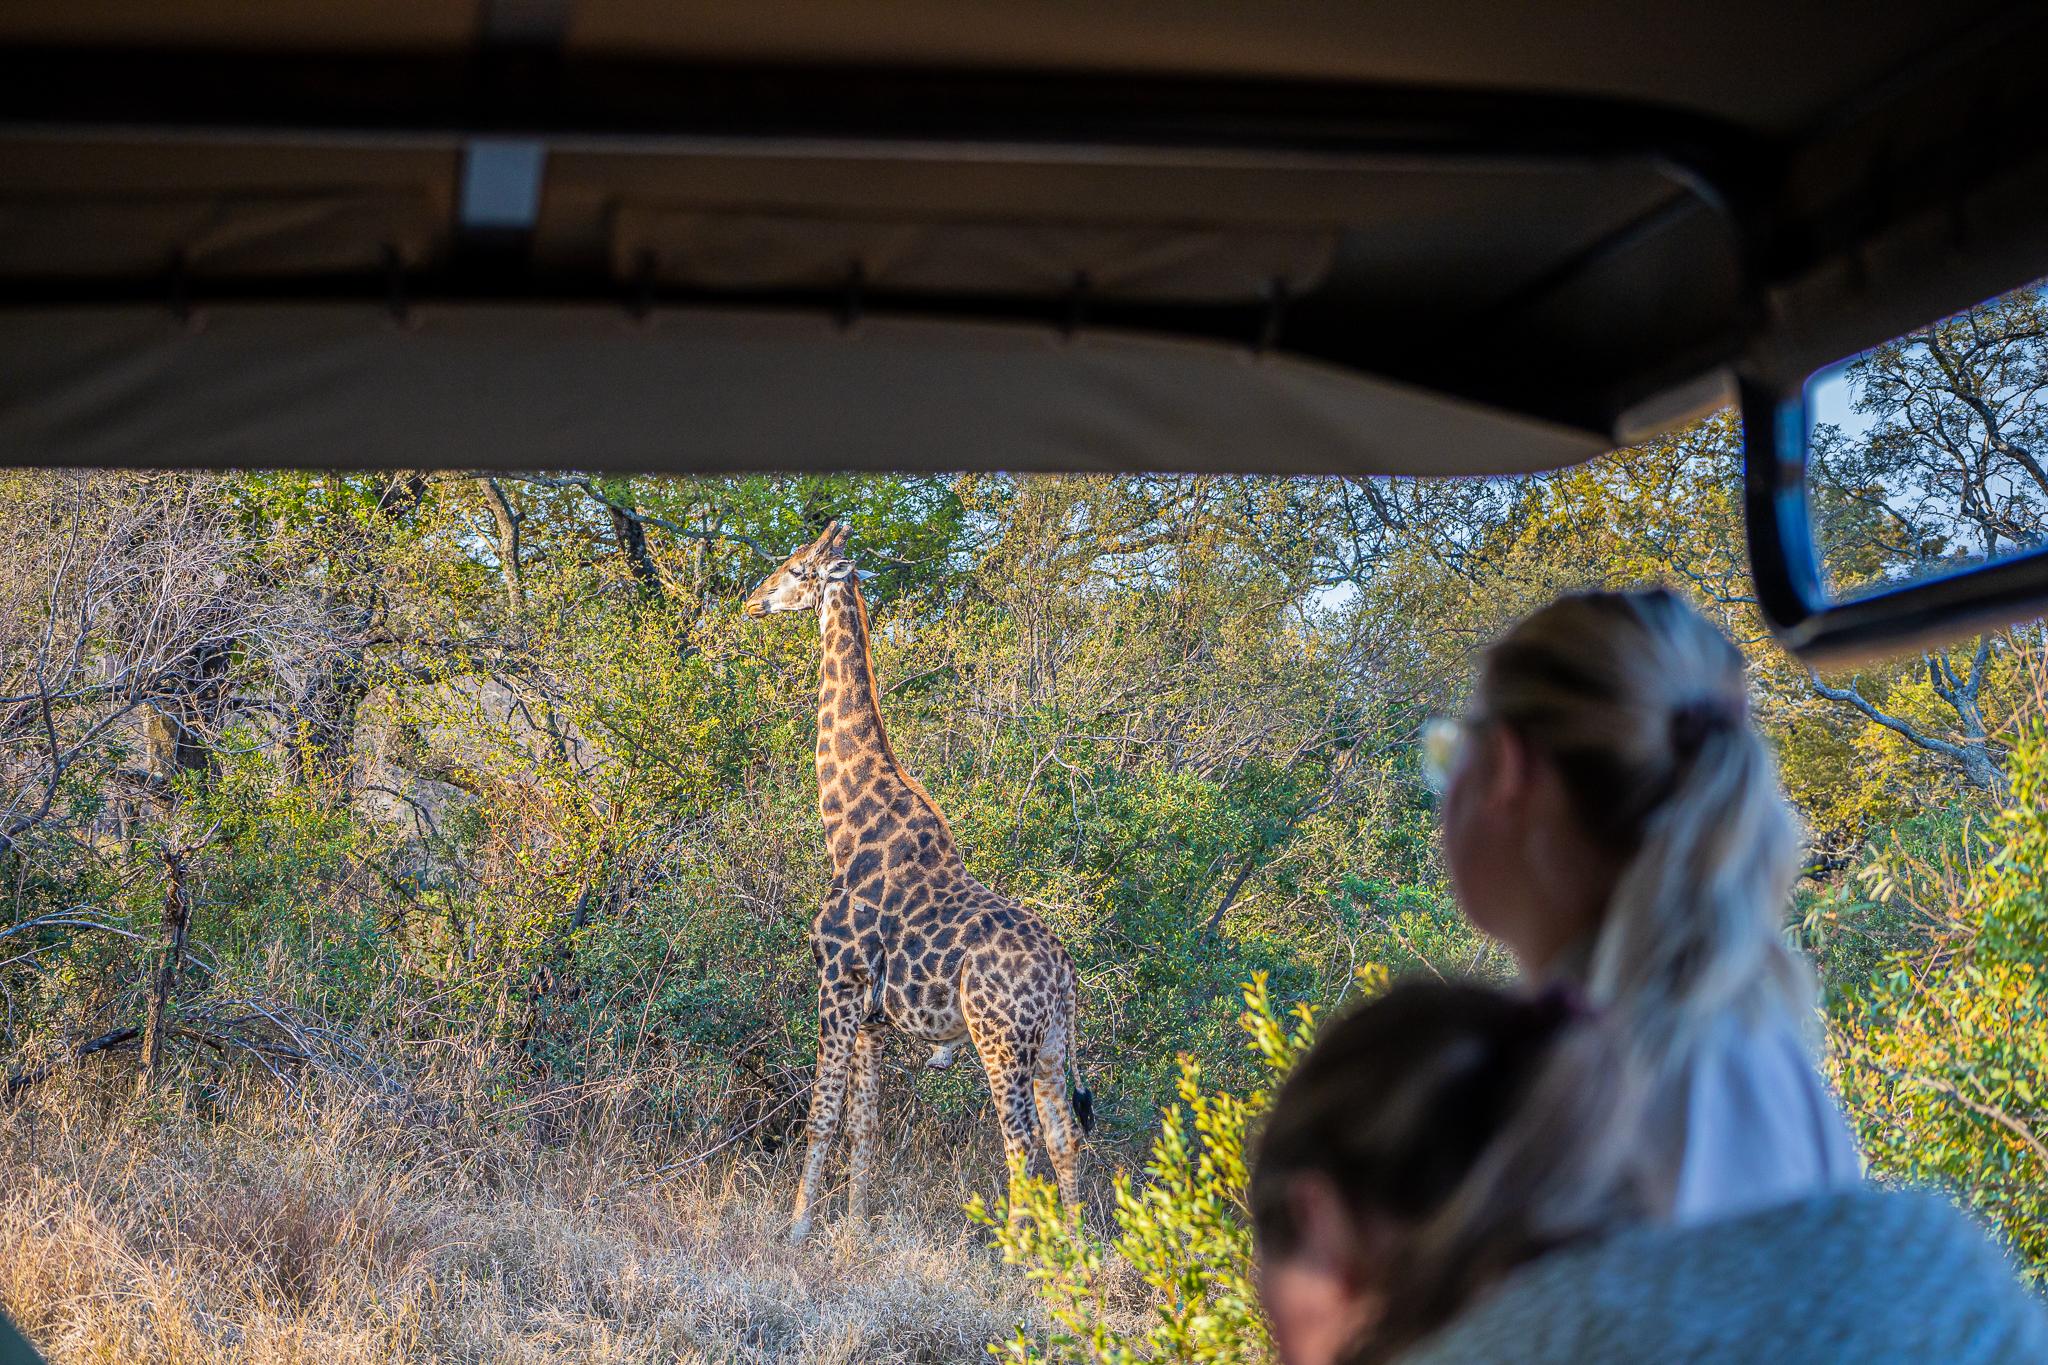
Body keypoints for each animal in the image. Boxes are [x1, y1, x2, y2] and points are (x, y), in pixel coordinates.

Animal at [744, 520, 1092, 1244]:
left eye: (796, 568)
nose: (753, 601)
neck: (847, 826)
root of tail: (1065, 973)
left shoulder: (836, 982)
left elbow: (820, 1116)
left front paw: (797, 1229)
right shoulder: (871, 1014)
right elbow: (863, 1122)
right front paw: (853, 1230)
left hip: (998, 1038)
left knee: (1019, 1139)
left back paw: (1016, 1253)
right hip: (1050, 1043)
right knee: (1063, 1135)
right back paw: (1079, 1253)